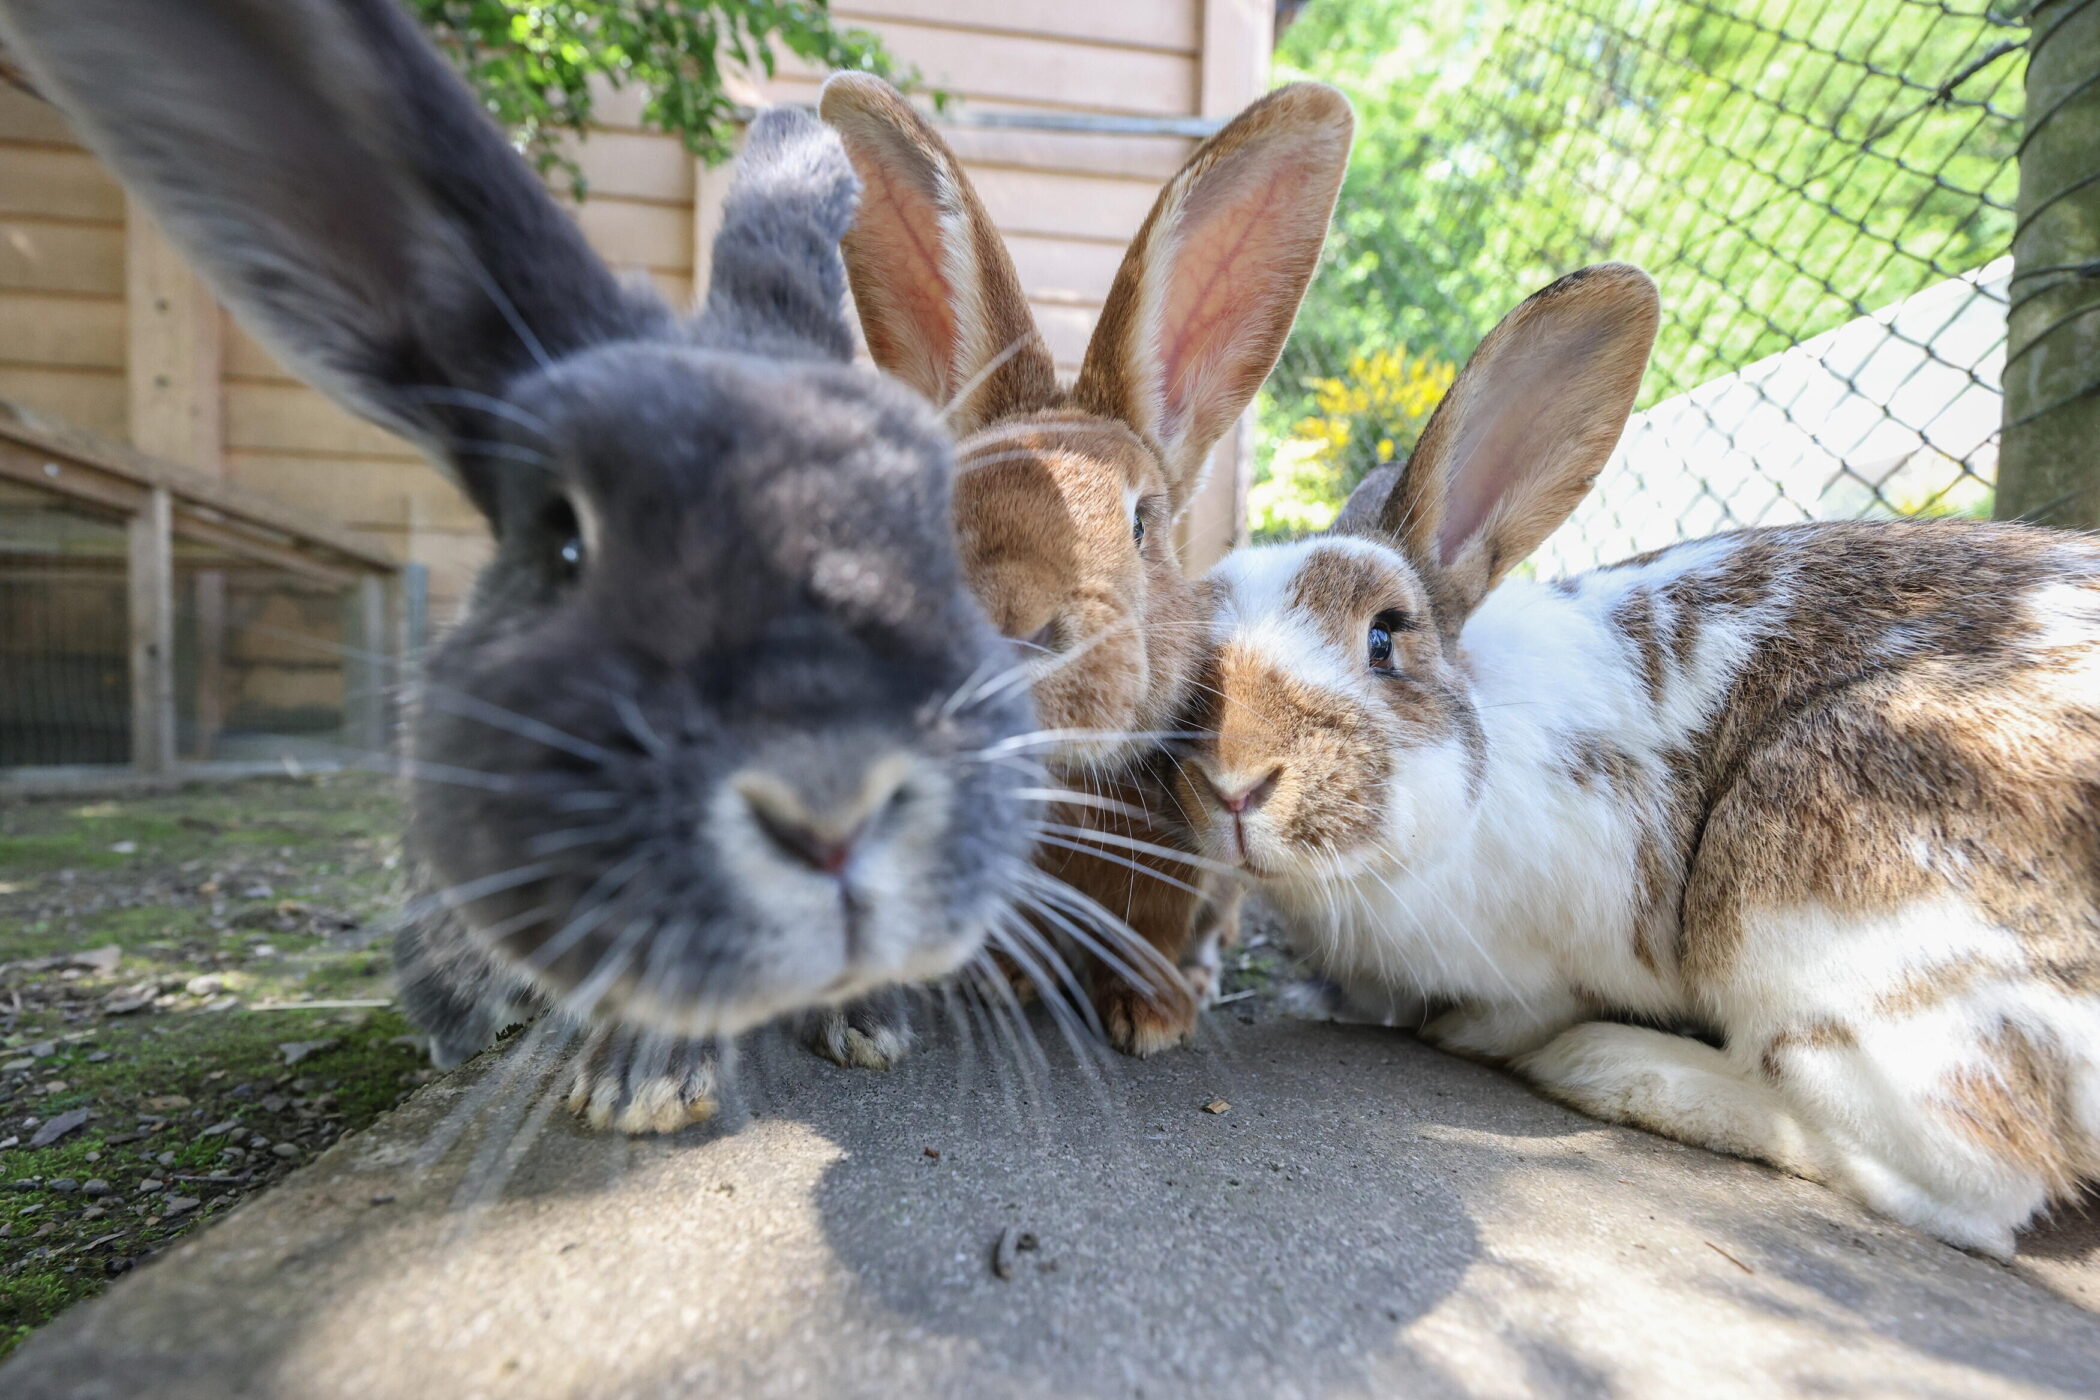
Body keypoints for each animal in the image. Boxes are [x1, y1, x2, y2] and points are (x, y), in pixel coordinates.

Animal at [1170, 261, 2100, 1258]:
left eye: (1385, 637)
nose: (1234, 783)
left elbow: (1522, 1003)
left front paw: (1471, 1034)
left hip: (1816, 886)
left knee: (1967, 1178)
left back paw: (1612, 1066)